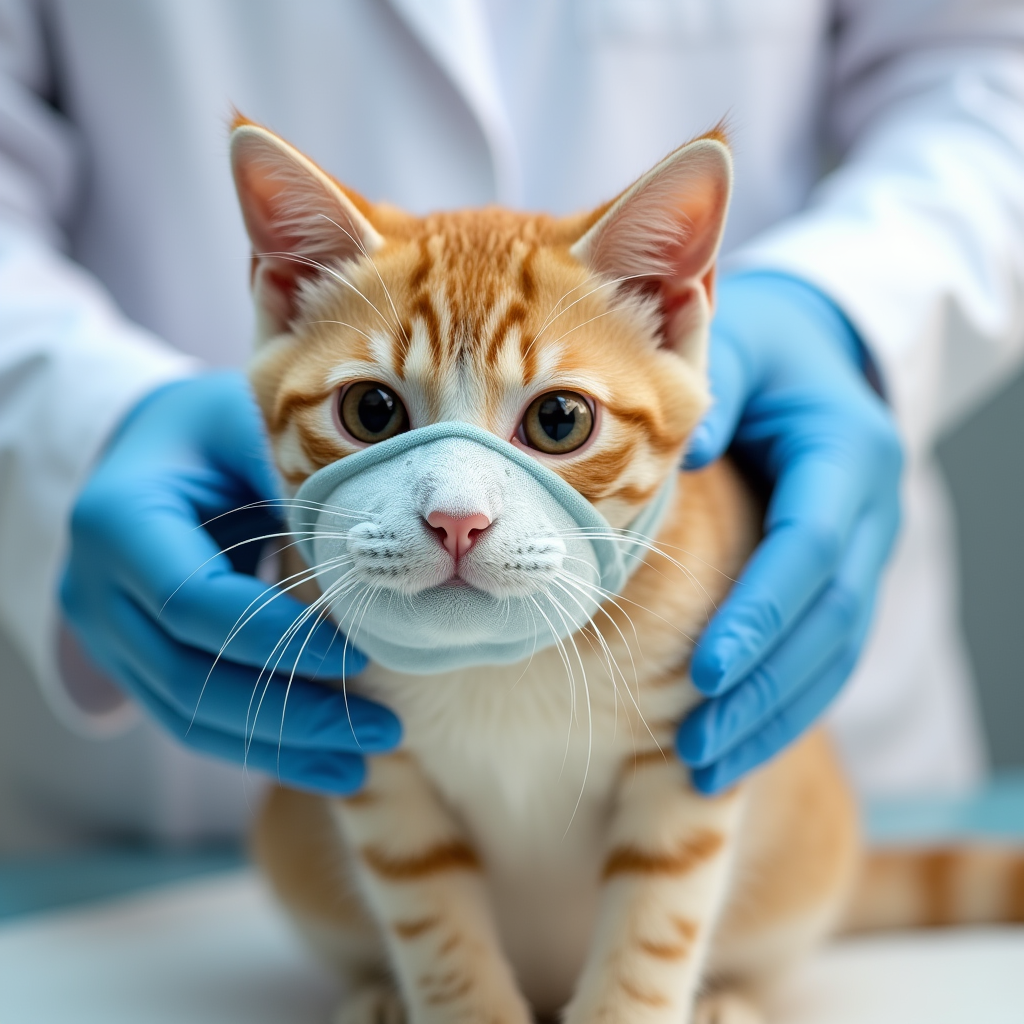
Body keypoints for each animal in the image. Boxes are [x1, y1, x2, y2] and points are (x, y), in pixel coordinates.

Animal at [228, 119, 1019, 1024]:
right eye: (371, 411)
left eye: (559, 420)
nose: (457, 520)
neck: (501, 665)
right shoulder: (377, 768)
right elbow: (434, 924)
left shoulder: (693, 750)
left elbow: (656, 922)